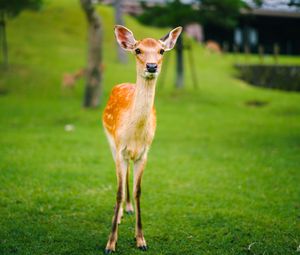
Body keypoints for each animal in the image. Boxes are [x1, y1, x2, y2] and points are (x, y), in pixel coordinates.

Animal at [102, 24, 182, 253]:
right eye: (138, 50)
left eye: (162, 51)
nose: (152, 66)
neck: (135, 135)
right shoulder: (120, 147)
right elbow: (118, 191)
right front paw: (110, 243)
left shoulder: (144, 153)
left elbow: (138, 191)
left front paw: (141, 240)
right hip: (110, 142)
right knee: (119, 177)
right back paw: (120, 213)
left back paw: (128, 209)